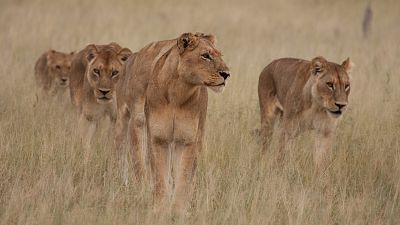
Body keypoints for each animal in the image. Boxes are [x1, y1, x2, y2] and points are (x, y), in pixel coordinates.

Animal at [114, 32, 230, 211]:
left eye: (220, 55)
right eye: (205, 56)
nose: (227, 74)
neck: (178, 93)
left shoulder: (188, 140)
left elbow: (184, 176)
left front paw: (178, 210)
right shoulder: (158, 138)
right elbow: (159, 176)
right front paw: (160, 208)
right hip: (130, 121)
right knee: (131, 158)